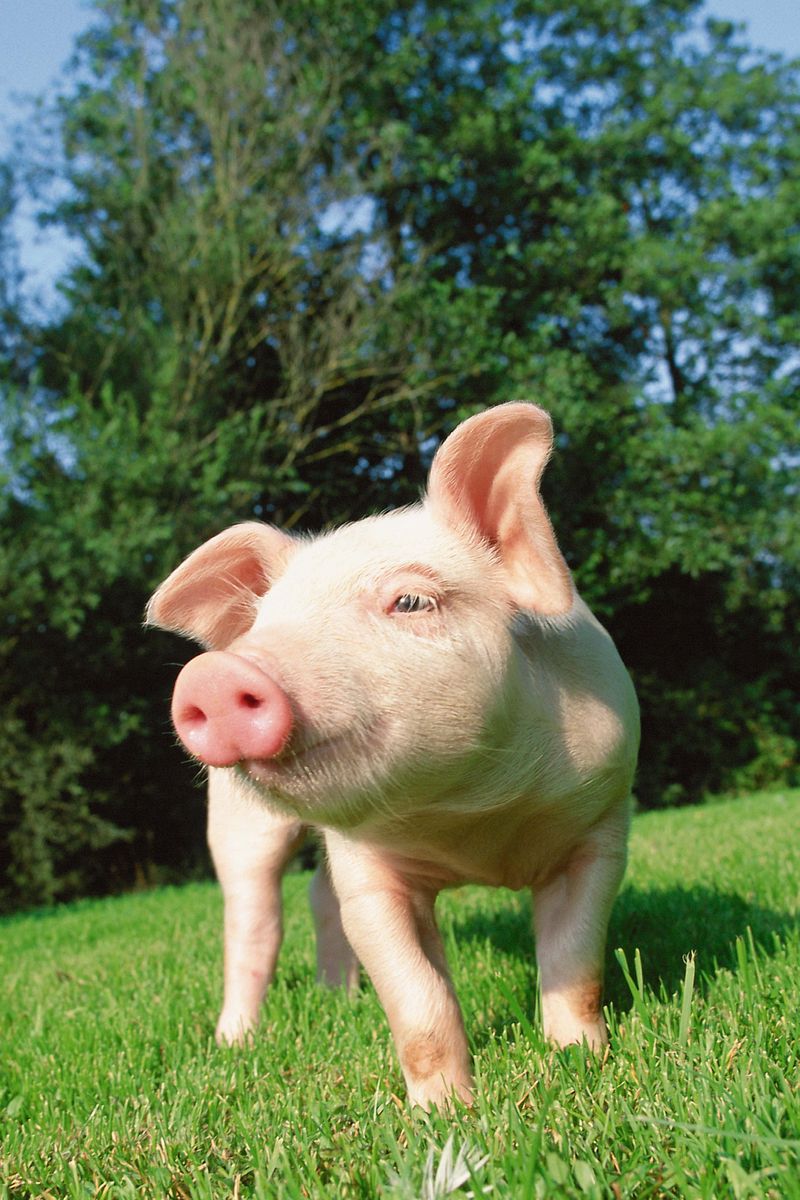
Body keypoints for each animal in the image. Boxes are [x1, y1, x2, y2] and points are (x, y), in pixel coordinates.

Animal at [146, 402, 639, 1109]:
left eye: (409, 600)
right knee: (252, 922)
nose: (212, 676)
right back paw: (235, 1041)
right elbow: (418, 1003)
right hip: (236, 822)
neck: (474, 817)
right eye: (265, 622)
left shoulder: (602, 825)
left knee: (315, 896)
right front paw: (445, 1115)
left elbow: (576, 966)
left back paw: (340, 999)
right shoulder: (370, 874)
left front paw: (581, 1062)